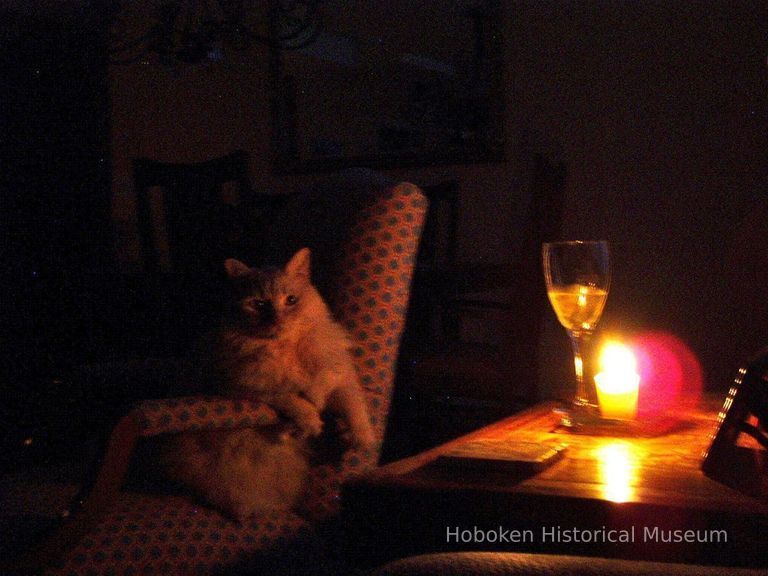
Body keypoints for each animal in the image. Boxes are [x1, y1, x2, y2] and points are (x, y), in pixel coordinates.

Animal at [164, 248, 374, 520]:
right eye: (259, 304)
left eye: (291, 300)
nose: (276, 319)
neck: (287, 348)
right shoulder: (240, 387)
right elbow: (288, 397)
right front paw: (309, 419)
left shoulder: (337, 377)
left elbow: (353, 406)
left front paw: (361, 437)